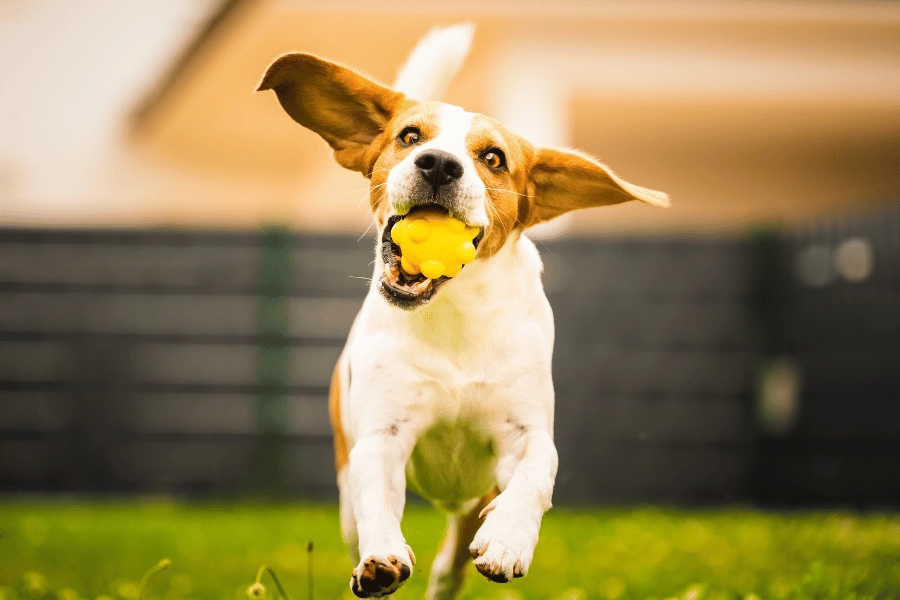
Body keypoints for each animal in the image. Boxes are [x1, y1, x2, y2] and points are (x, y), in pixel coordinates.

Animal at [256, 24, 664, 600]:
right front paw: (382, 558)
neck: (455, 317)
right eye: (410, 136)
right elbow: (376, 497)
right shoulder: (381, 438)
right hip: (346, 491)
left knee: (452, 560)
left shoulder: (526, 434)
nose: (439, 163)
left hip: (473, 499)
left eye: (492, 158)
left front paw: (509, 541)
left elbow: (535, 475)